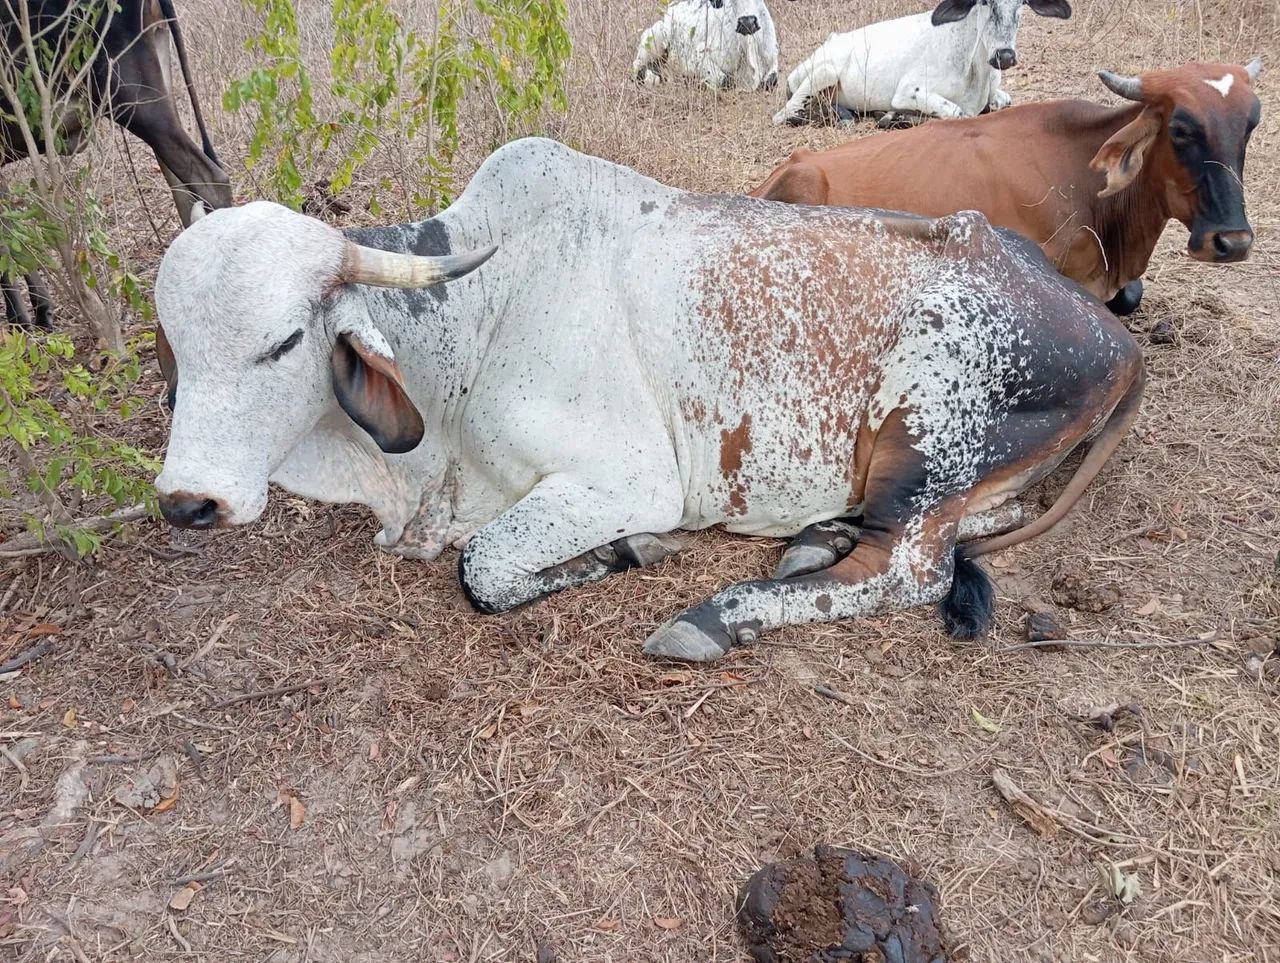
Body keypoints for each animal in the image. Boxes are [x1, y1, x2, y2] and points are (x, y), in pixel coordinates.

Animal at [152, 137, 1144, 662]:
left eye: (283, 341)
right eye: (176, 350)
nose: (188, 501)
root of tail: (1113, 331)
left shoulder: (626, 478)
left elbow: (484, 568)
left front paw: (630, 551)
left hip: (924, 426)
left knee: (912, 569)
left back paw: (719, 614)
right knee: (967, 525)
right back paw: (816, 535)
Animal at [632, 0, 783, 92]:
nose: (747, 22)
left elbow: (770, 81)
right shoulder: (695, 59)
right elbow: (724, 80)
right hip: (655, 36)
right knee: (637, 68)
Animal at [774, 0, 1071, 127]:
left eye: (1022, 3)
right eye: (985, 2)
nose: (1005, 55)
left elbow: (1003, 101)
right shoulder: (909, 91)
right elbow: (957, 113)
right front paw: (896, 117)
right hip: (824, 73)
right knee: (783, 114)